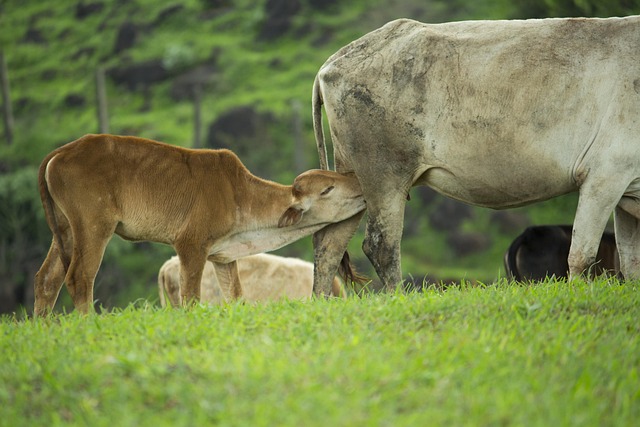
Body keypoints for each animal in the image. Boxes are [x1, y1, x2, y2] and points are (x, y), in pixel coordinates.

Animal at [310, 17, 640, 294]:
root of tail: (331, 63)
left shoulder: (628, 188)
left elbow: (631, 263)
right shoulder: (605, 175)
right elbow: (582, 255)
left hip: (352, 178)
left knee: (329, 243)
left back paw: (322, 302)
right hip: (384, 175)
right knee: (380, 245)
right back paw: (397, 298)